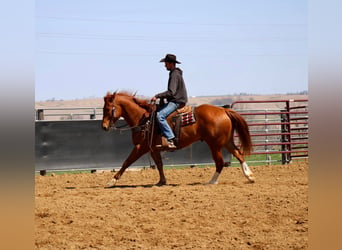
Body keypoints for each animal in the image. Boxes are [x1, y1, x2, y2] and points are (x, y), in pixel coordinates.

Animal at [101, 91, 254, 187]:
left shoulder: (141, 147)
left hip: (214, 145)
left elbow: (127, 162)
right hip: (227, 142)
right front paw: (162, 181)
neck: (144, 119)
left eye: (108, 109)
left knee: (220, 163)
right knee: (239, 154)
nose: (104, 127)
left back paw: (211, 181)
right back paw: (249, 176)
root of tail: (224, 110)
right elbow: (159, 164)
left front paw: (112, 181)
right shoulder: (153, 149)